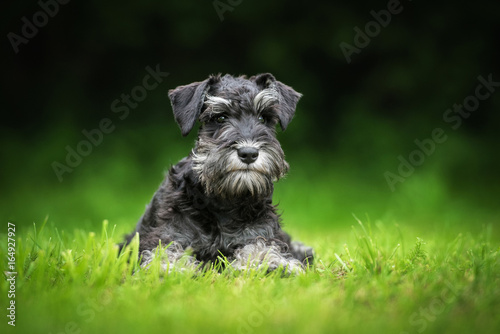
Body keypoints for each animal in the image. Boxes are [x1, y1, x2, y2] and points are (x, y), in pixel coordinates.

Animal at [121, 73, 314, 274]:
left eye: (263, 118)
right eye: (220, 117)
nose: (249, 153)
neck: (224, 202)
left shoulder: (260, 232)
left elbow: (260, 246)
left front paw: (270, 263)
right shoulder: (168, 233)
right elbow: (166, 251)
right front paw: (170, 268)